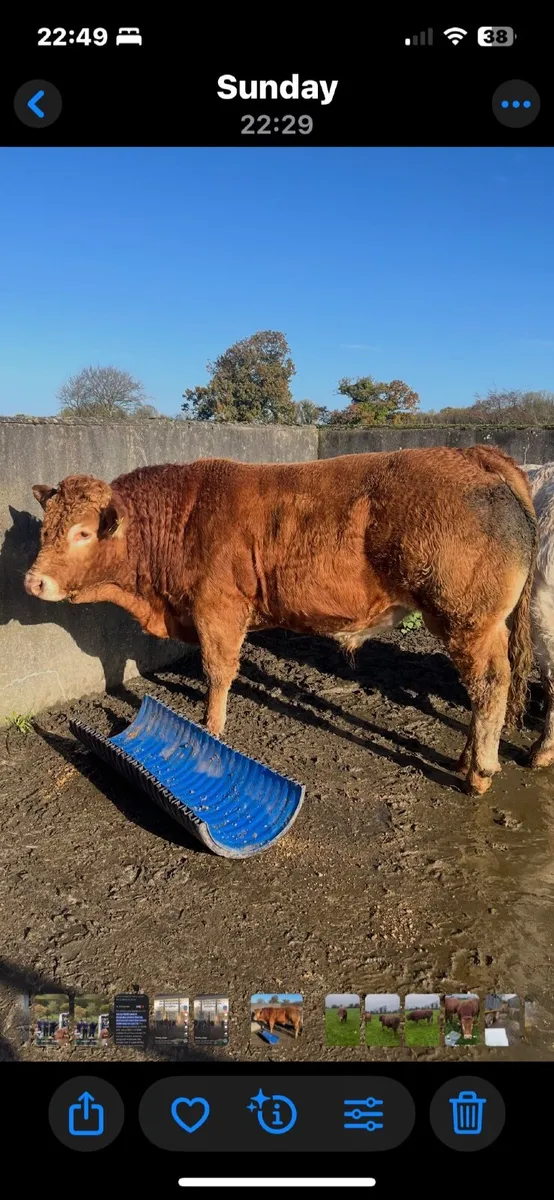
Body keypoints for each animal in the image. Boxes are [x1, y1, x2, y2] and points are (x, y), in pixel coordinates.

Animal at [25, 445, 536, 796]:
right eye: (45, 529)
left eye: (83, 533)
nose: (33, 581)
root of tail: (472, 453)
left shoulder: (218, 610)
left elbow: (217, 673)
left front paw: (211, 729)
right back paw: (465, 759)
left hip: (467, 620)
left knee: (489, 684)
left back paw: (478, 773)